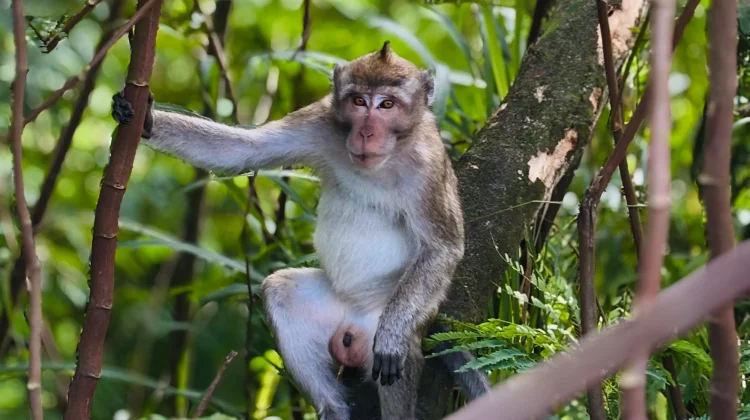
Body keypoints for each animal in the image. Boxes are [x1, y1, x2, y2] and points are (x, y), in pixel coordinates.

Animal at [112, 42, 490, 419]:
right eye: (358, 101)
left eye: (387, 104)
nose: (366, 132)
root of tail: (354, 319)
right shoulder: (321, 120)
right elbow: (244, 149)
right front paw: (146, 119)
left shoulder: (429, 165)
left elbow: (442, 246)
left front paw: (393, 336)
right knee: (280, 291)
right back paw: (333, 408)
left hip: (393, 318)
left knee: (400, 356)